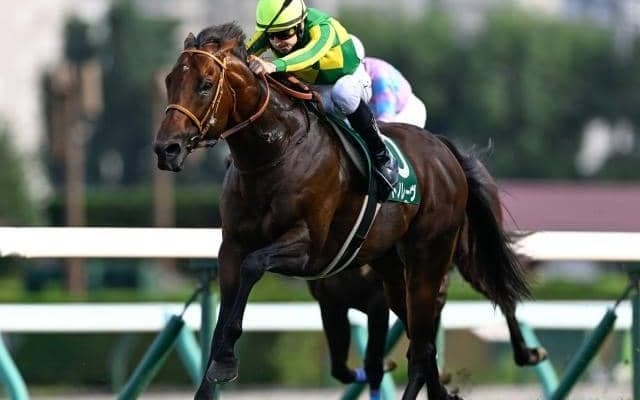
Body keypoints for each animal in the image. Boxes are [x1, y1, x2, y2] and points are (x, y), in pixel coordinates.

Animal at [308, 157, 546, 397]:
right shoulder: (331, 304)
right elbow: (339, 367)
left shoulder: (378, 303)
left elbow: (375, 364)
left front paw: (388, 365)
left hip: (472, 260)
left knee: (504, 299)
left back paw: (529, 354)